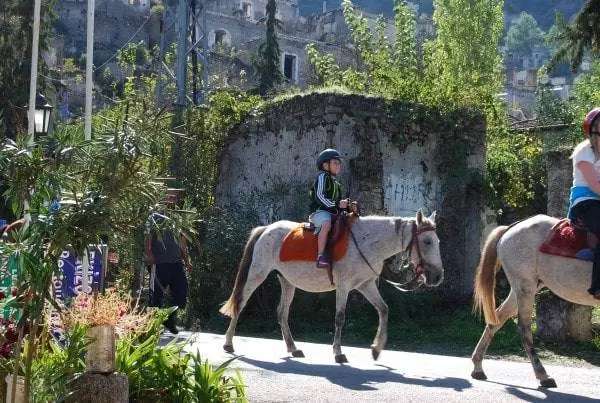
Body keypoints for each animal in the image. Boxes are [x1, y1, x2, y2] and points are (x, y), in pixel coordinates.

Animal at [218, 211, 442, 362]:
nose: (437, 277)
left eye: (436, 241)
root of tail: (266, 229)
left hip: (287, 282)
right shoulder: (344, 286)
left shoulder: (365, 285)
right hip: (257, 274)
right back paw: (228, 343)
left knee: (282, 312)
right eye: (427, 241)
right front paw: (338, 352)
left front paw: (377, 349)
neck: (366, 242)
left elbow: (384, 309)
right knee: (240, 303)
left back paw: (293, 348)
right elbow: (340, 318)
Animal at [474, 215, 600, 388]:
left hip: (521, 289)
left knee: (497, 319)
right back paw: (543, 375)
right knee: (524, 329)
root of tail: (510, 229)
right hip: (525, 288)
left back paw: (478, 367)